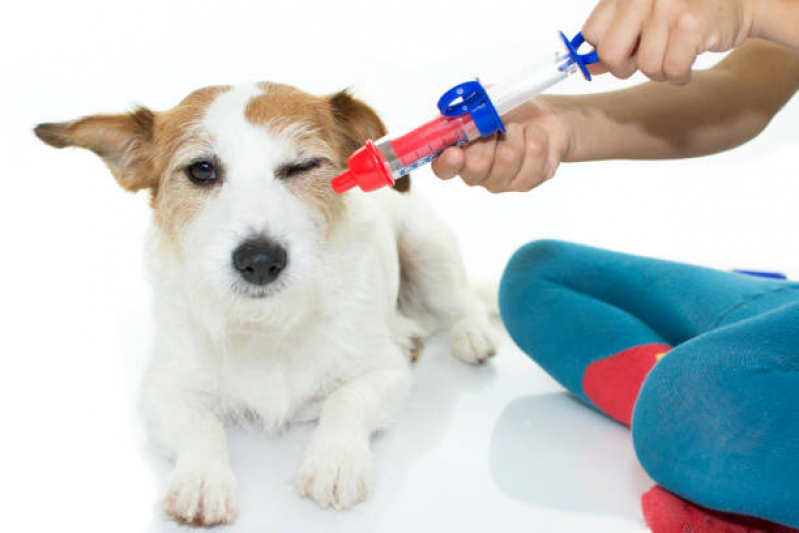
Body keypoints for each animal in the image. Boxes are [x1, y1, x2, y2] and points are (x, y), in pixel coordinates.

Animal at [37, 83, 500, 524]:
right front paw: (202, 478)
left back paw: (472, 334)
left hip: (426, 249)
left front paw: (335, 460)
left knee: (462, 300)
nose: (260, 260)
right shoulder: (161, 389)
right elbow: (199, 424)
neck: (264, 323)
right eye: (202, 170)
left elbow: (346, 400)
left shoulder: (386, 373)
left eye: (302, 167)